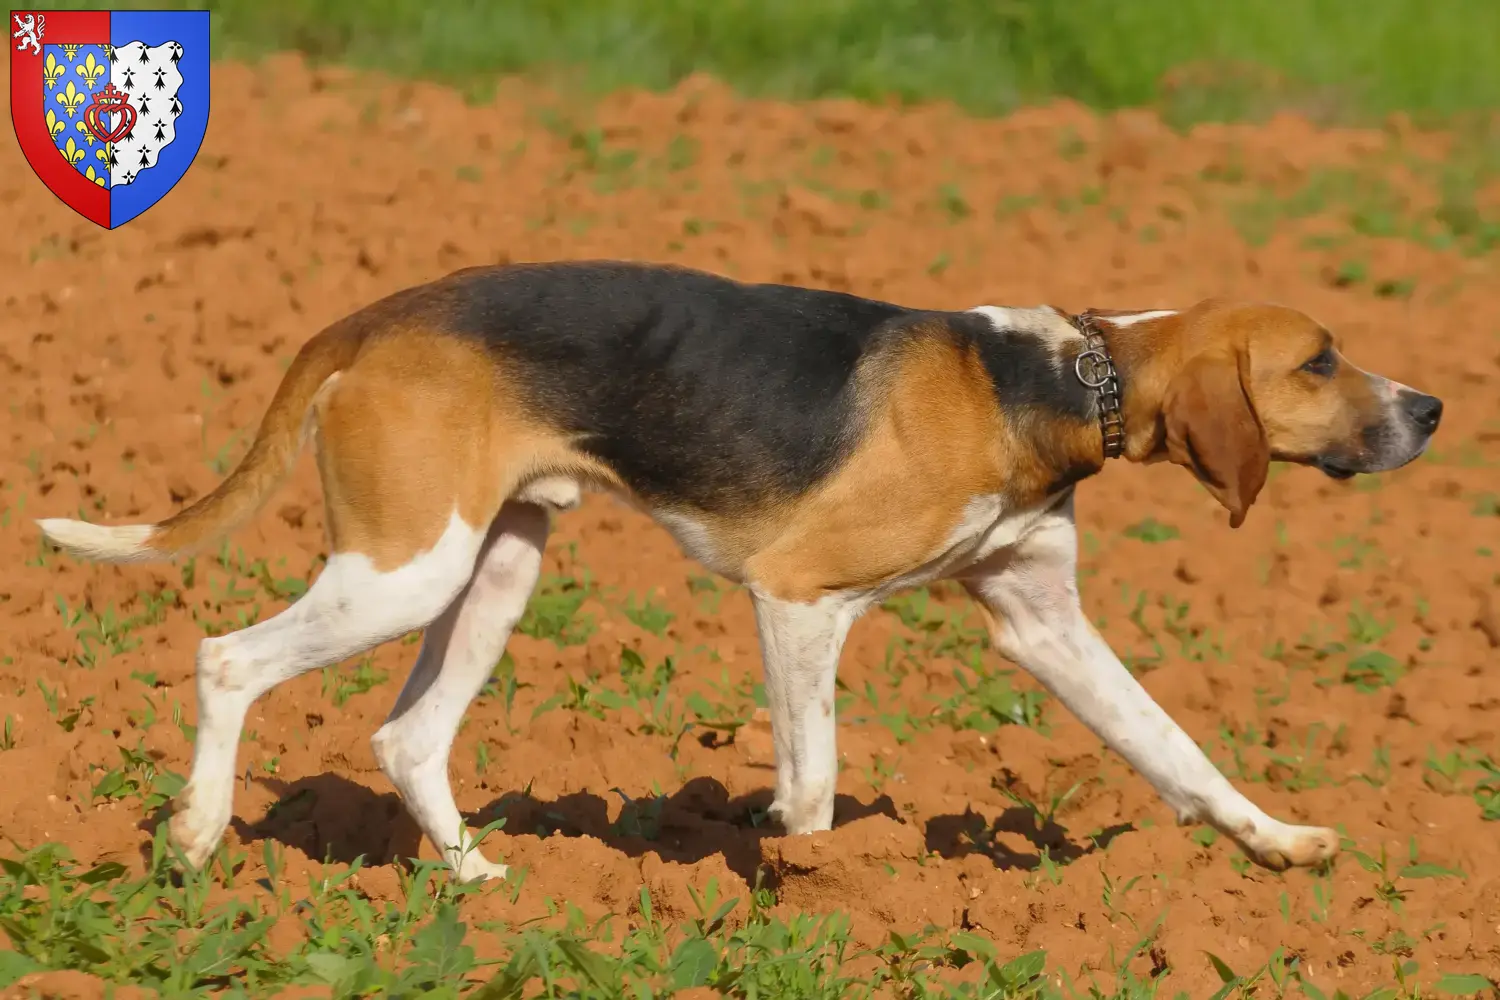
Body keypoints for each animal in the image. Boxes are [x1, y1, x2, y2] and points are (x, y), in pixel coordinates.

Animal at [38, 260, 1440, 881]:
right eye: (1320, 361)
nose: (1428, 407)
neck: (1060, 378)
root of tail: (377, 315)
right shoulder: (799, 596)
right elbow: (812, 780)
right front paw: (803, 882)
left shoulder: (1043, 621)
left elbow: (1177, 748)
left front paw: (1278, 842)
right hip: (405, 568)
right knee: (226, 658)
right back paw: (195, 835)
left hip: (494, 568)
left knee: (407, 737)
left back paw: (482, 887)